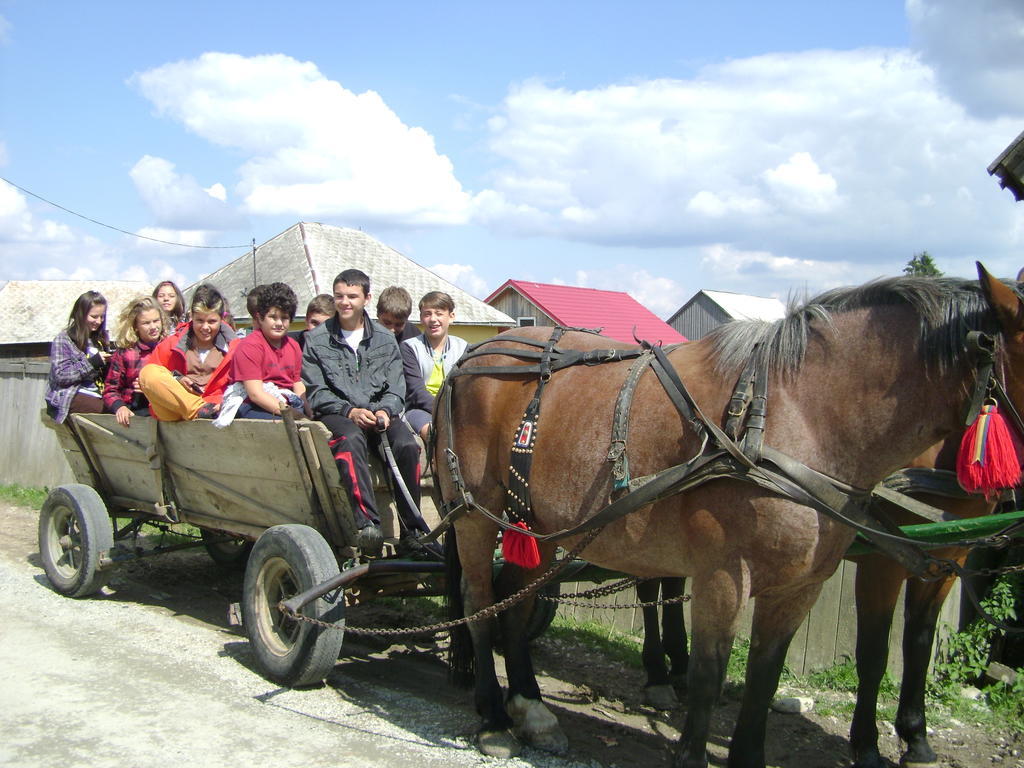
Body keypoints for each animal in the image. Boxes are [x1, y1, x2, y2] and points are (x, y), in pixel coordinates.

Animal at [436, 272, 1024, 768]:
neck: (792, 417)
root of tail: (473, 357)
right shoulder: (725, 576)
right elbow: (710, 674)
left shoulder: (800, 587)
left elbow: (765, 678)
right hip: (475, 516)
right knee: (479, 601)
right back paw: (494, 717)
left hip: (540, 526)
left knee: (515, 602)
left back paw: (530, 708)